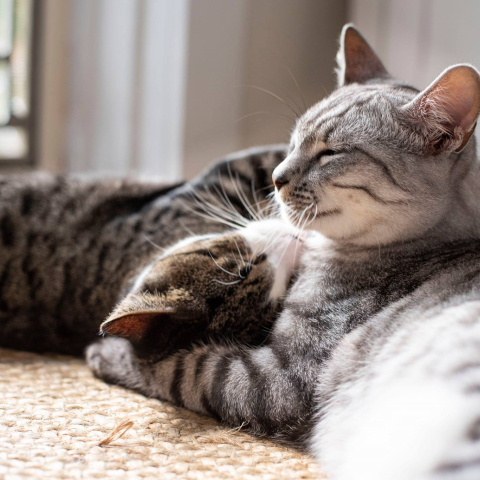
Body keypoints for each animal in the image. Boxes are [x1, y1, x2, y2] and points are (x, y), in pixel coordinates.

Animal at [88, 26, 480, 480]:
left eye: (330, 152)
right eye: (292, 143)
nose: (274, 178)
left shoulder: (278, 381)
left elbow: (179, 368)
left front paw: (110, 353)